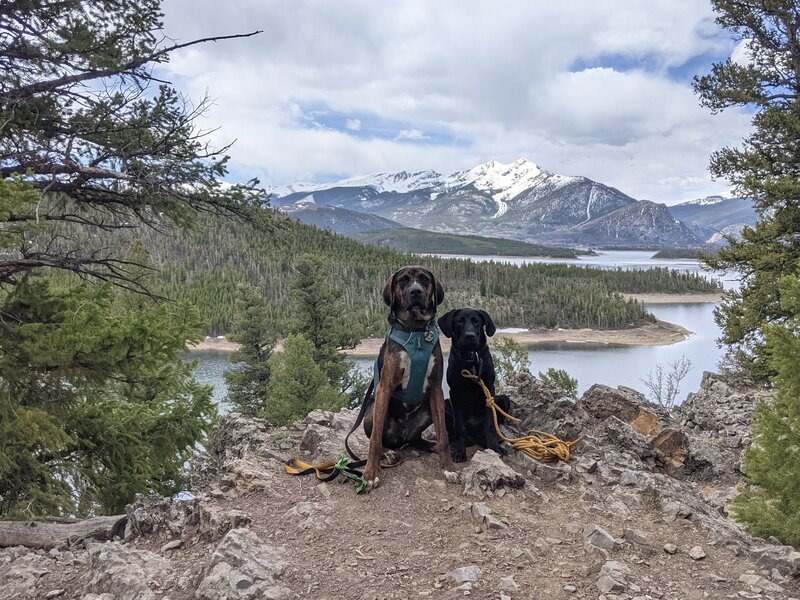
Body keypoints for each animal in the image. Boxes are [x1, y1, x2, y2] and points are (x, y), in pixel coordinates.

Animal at [364, 268, 456, 488]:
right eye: (403, 280)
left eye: (424, 279)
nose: (416, 292)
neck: (416, 331)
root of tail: (403, 438)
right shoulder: (385, 388)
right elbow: (374, 440)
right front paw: (370, 474)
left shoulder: (436, 390)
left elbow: (443, 435)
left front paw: (448, 468)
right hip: (371, 410)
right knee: (381, 440)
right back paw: (388, 454)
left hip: (432, 409)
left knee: (418, 440)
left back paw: (429, 445)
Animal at [438, 308, 512, 462]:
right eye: (459, 321)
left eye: (476, 321)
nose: (470, 336)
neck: (471, 358)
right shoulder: (454, 392)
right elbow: (459, 426)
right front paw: (460, 451)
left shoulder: (489, 389)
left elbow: (489, 423)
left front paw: (493, 446)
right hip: (446, 404)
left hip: (503, 399)